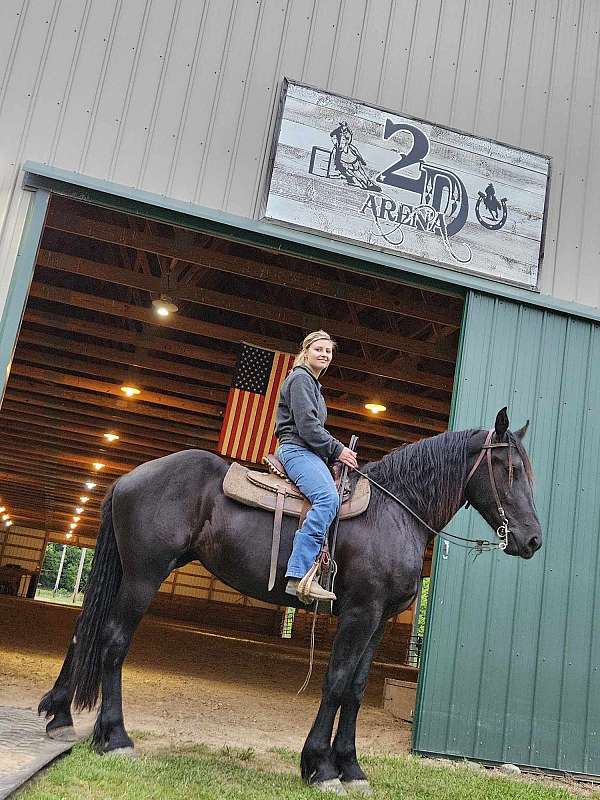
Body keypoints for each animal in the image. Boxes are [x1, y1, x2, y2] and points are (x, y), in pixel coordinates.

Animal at [38, 410, 544, 796]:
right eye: (510, 470)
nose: (534, 540)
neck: (396, 512)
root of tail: (130, 477)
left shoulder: (378, 621)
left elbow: (357, 689)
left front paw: (351, 767)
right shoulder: (359, 613)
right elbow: (336, 683)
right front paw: (319, 767)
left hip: (125, 574)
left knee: (84, 631)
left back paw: (60, 715)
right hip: (144, 576)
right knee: (112, 640)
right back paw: (115, 737)